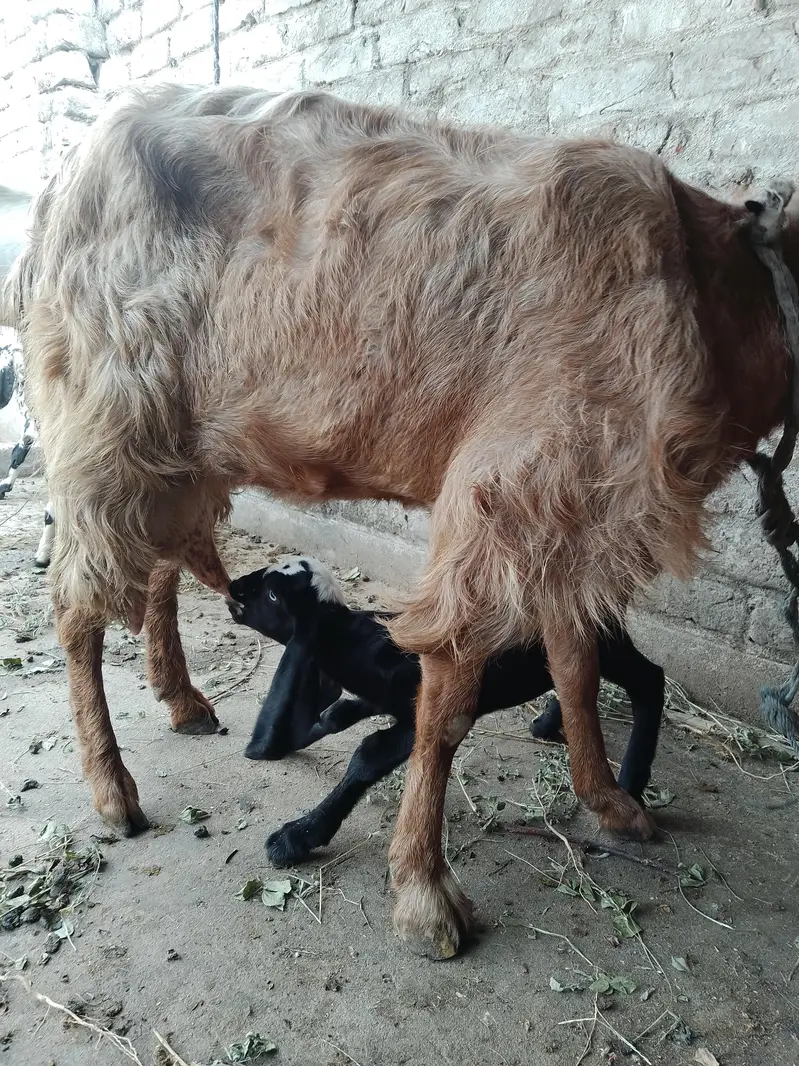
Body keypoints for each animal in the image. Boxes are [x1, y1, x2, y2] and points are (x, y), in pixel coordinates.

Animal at [228, 556, 665, 866]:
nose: (234, 588)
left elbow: (369, 755)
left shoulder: (427, 714)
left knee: (648, 680)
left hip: (605, 639)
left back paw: (630, 785)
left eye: (274, 596)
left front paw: (296, 837)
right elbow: (335, 716)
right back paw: (547, 723)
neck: (363, 645)